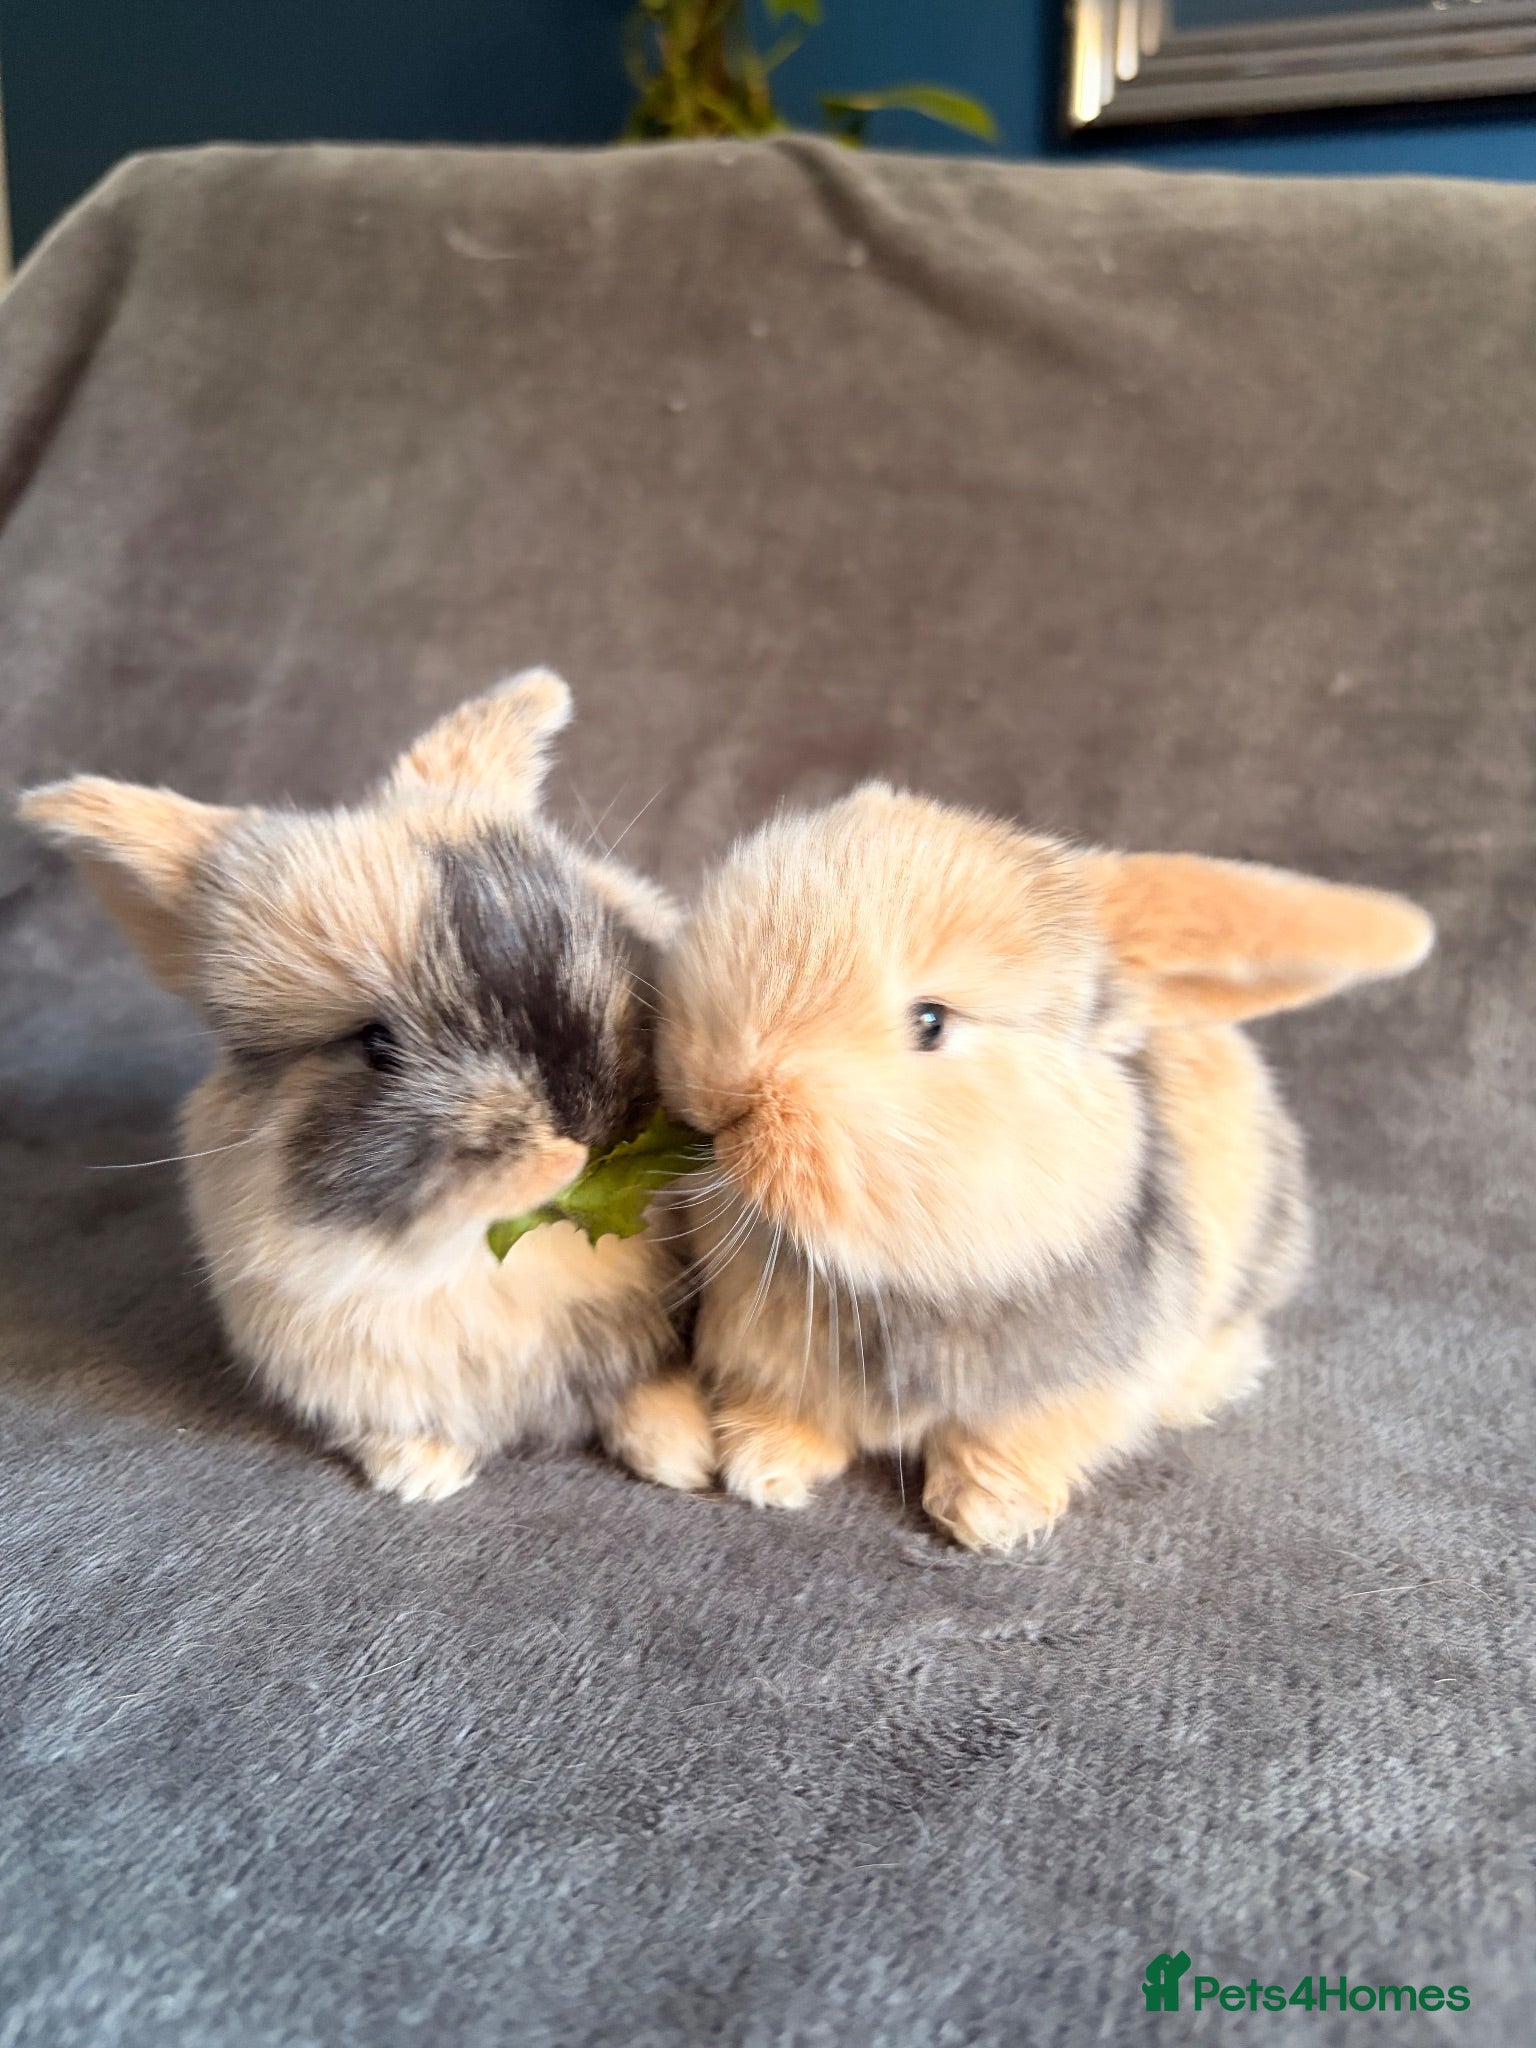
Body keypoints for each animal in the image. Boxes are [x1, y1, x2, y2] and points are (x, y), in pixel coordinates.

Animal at [18, 670, 715, 1502]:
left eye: (597, 935)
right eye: (377, 1046)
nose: (584, 1131)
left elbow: (645, 1387)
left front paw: (687, 1456)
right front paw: (420, 1474)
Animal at [656, 782, 1434, 1552]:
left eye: (931, 1022)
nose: (719, 1098)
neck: (880, 1276)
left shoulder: (1071, 1387)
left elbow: (1011, 1440)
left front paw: (991, 1517)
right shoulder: (774, 1359)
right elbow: (793, 1410)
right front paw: (764, 1468)